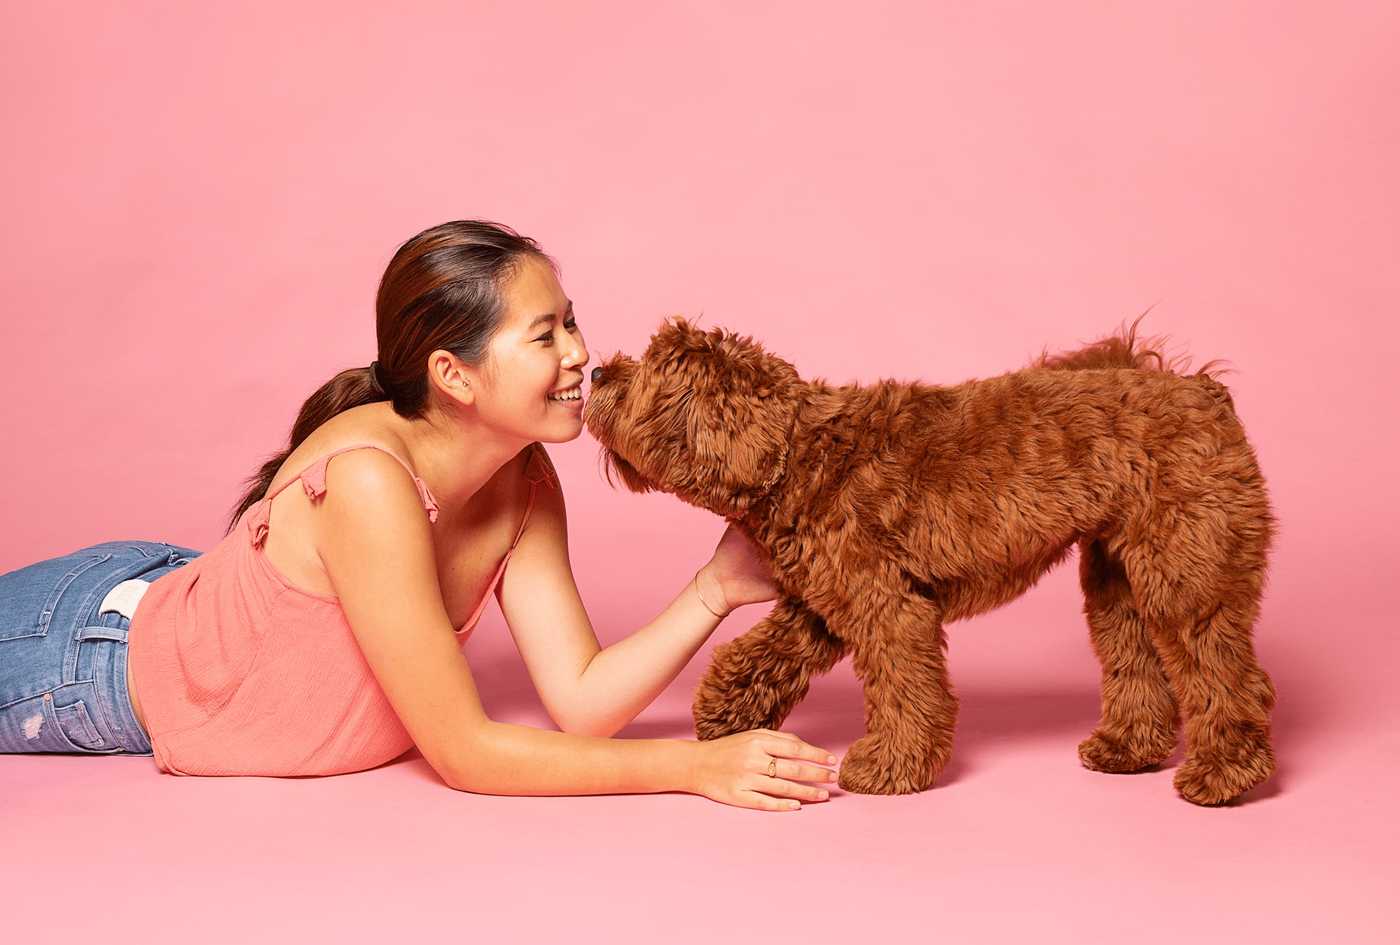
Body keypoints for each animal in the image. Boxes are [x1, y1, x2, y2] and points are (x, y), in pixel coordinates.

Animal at [582, 317, 1282, 806]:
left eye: (652, 369)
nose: (596, 374)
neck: (797, 452)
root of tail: (1202, 390)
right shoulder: (825, 598)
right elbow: (766, 652)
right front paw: (727, 713)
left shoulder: (886, 606)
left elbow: (904, 688)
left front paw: (891, 766)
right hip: (1118, 583)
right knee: (1137, 661)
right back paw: (1127, 750)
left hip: (1188, 573)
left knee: (1226, 675)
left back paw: (1224, 775)